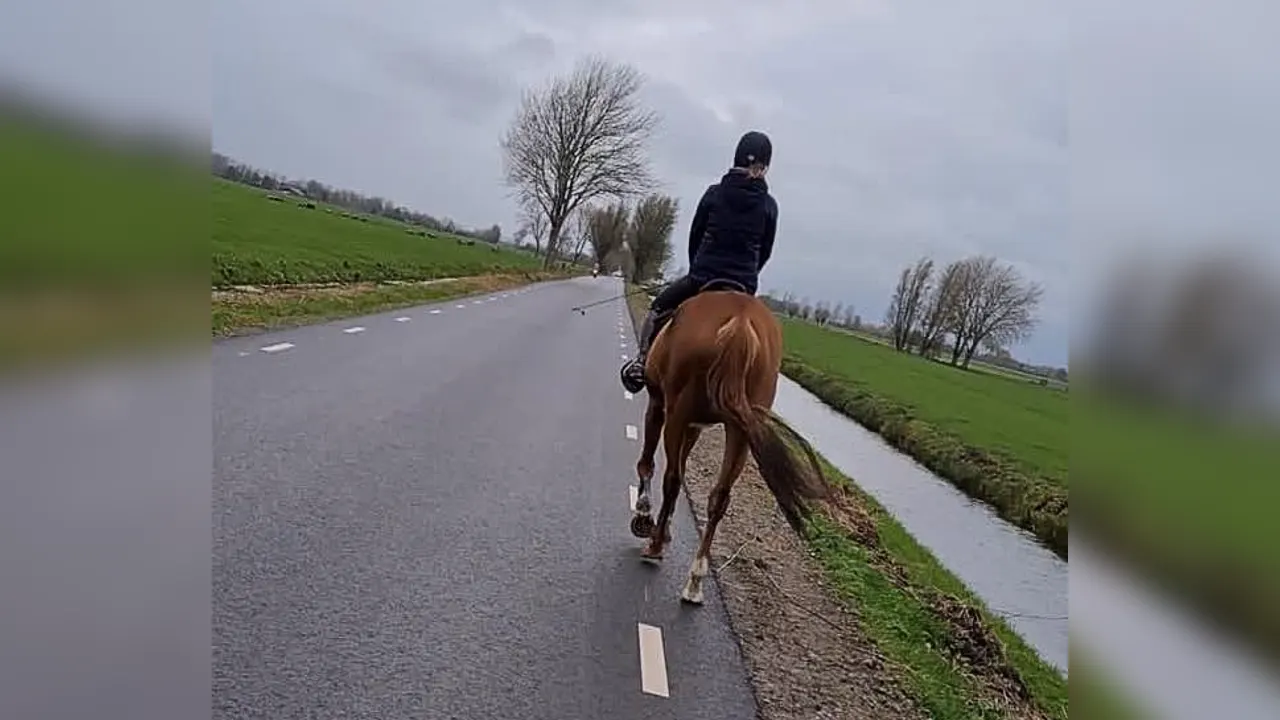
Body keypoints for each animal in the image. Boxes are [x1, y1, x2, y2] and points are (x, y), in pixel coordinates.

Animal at [628, 280, 831, 605]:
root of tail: (741, 322)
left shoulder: (661, 406)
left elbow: (649, 462)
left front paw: (645, 516)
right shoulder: (695, 425)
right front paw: (664, 526)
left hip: (679, 414)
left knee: (672, 479)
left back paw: (656, 547)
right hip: (740, 429)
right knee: (719, 497)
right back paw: (695, 581)